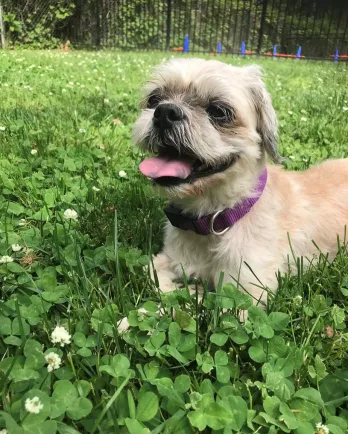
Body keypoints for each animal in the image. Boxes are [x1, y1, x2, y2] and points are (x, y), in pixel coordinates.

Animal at [133, 58, 348, 306]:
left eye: (219, 111)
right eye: (154, 99)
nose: (165, 111)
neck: (216, 217)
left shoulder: (247, 290)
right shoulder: (168, 257)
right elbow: (151, 273)